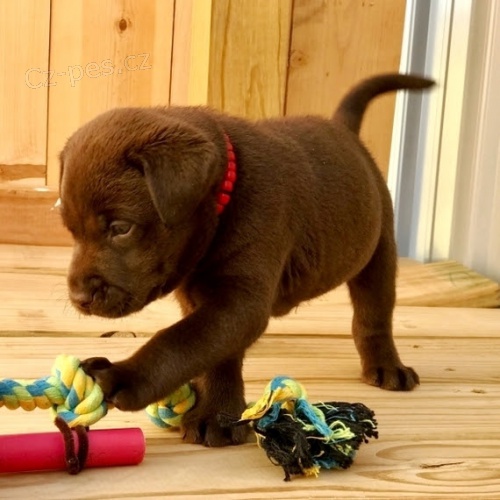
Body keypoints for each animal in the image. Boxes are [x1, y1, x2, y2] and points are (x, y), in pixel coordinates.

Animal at [58, 72, 434, 448]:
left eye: (121, 228)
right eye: (70, 230)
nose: (79, 298)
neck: (228, 191)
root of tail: (343, 129)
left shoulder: (239, 298)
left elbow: (178, 341)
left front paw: (126, 376)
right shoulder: (204, 299)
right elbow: (213, 351)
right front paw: (218, 412)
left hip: (379, 248)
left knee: (374, 315)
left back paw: (387, 366)